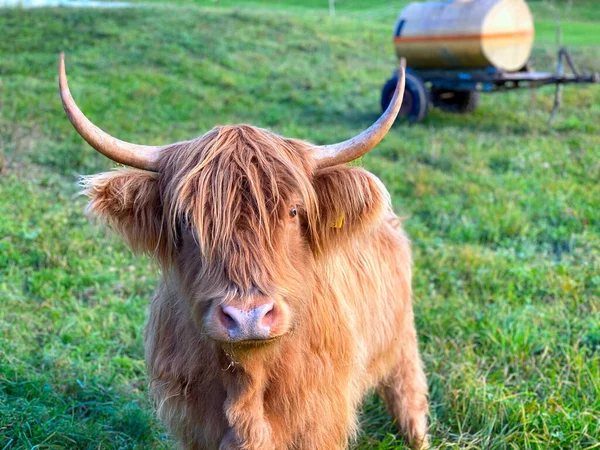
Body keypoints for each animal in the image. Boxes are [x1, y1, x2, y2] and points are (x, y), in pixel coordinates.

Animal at [58, 53, 428, 450]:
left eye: (293, 211)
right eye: (186, 220)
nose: (247, 317)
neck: (248, 386)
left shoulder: (321, 420)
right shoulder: (194, 426)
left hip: (402, 336)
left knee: (408, 387)